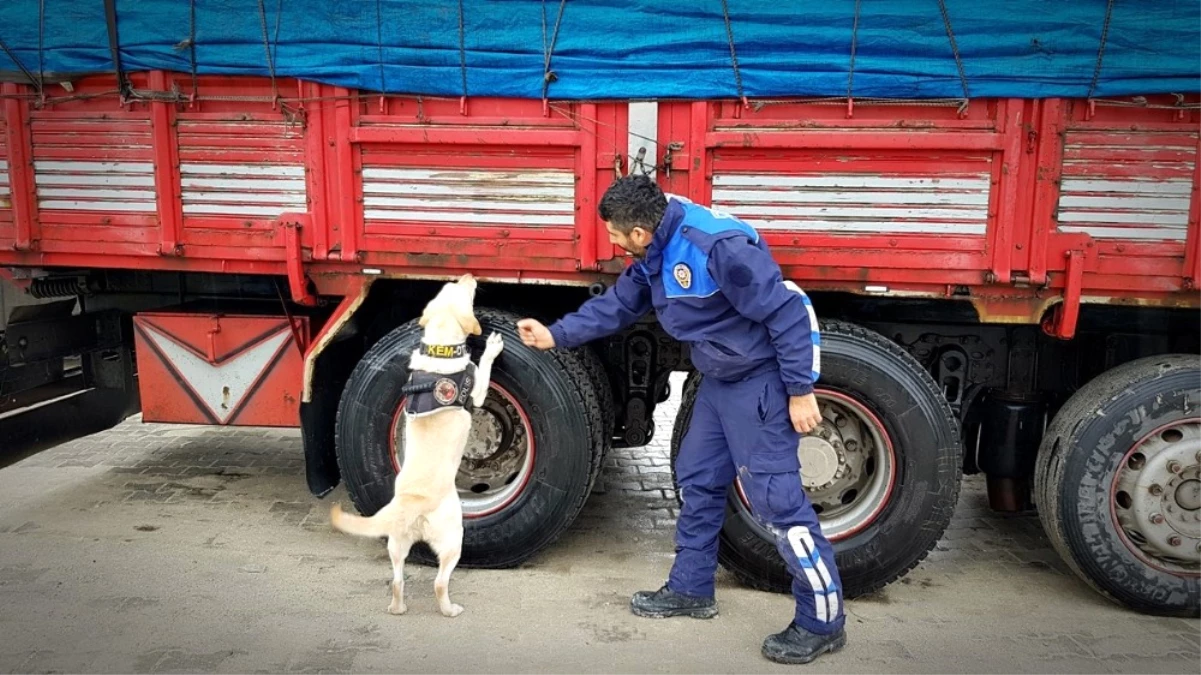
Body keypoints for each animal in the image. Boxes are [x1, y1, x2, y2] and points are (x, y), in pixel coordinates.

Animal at [329, 271, 502, 614]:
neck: (439, 348)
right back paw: (450, 610)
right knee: (439, 583)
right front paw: (491, 347)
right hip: (453, 537)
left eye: (451, 286)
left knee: (397, 580)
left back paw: (397, 608)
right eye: (464, 291)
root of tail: (411, 503)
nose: (468, 275)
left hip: (397, 545)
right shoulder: (475, 394)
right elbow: (484, 369)